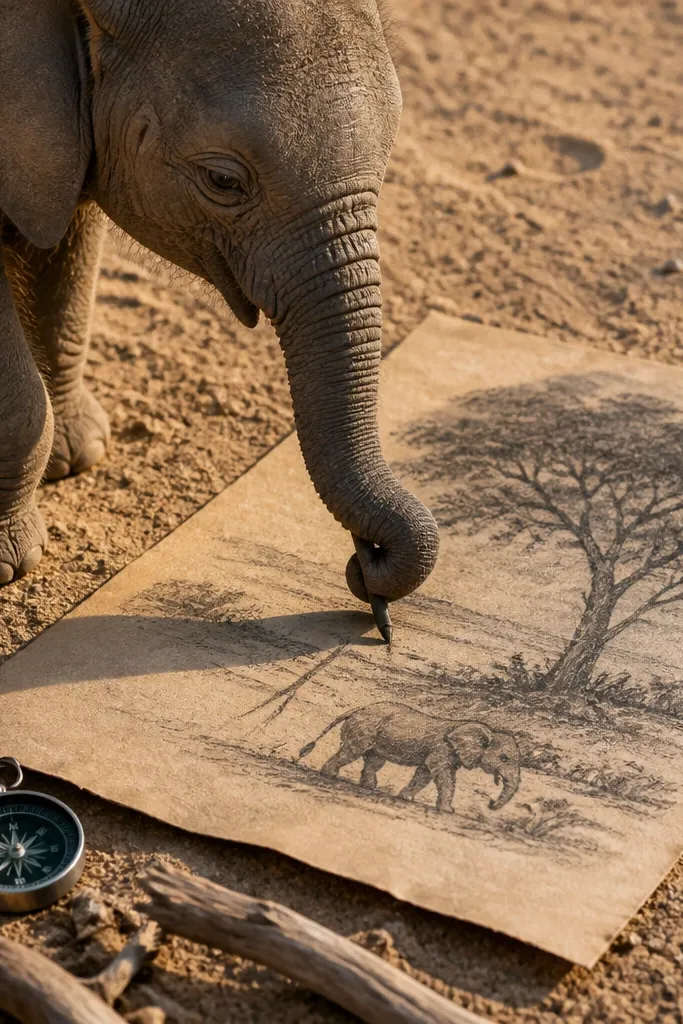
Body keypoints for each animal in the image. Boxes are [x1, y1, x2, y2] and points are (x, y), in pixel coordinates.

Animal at [299, 701, 521, 813]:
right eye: (504, 758)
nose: (490, 804)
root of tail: (358, 708)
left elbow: (424, 773)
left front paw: (405, 798)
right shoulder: (443, 748)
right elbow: (442, 775)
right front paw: (447, 811)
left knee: (374, 760)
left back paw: (369, 788)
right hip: (363, 730)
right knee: (351, 752)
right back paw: (329, 776)